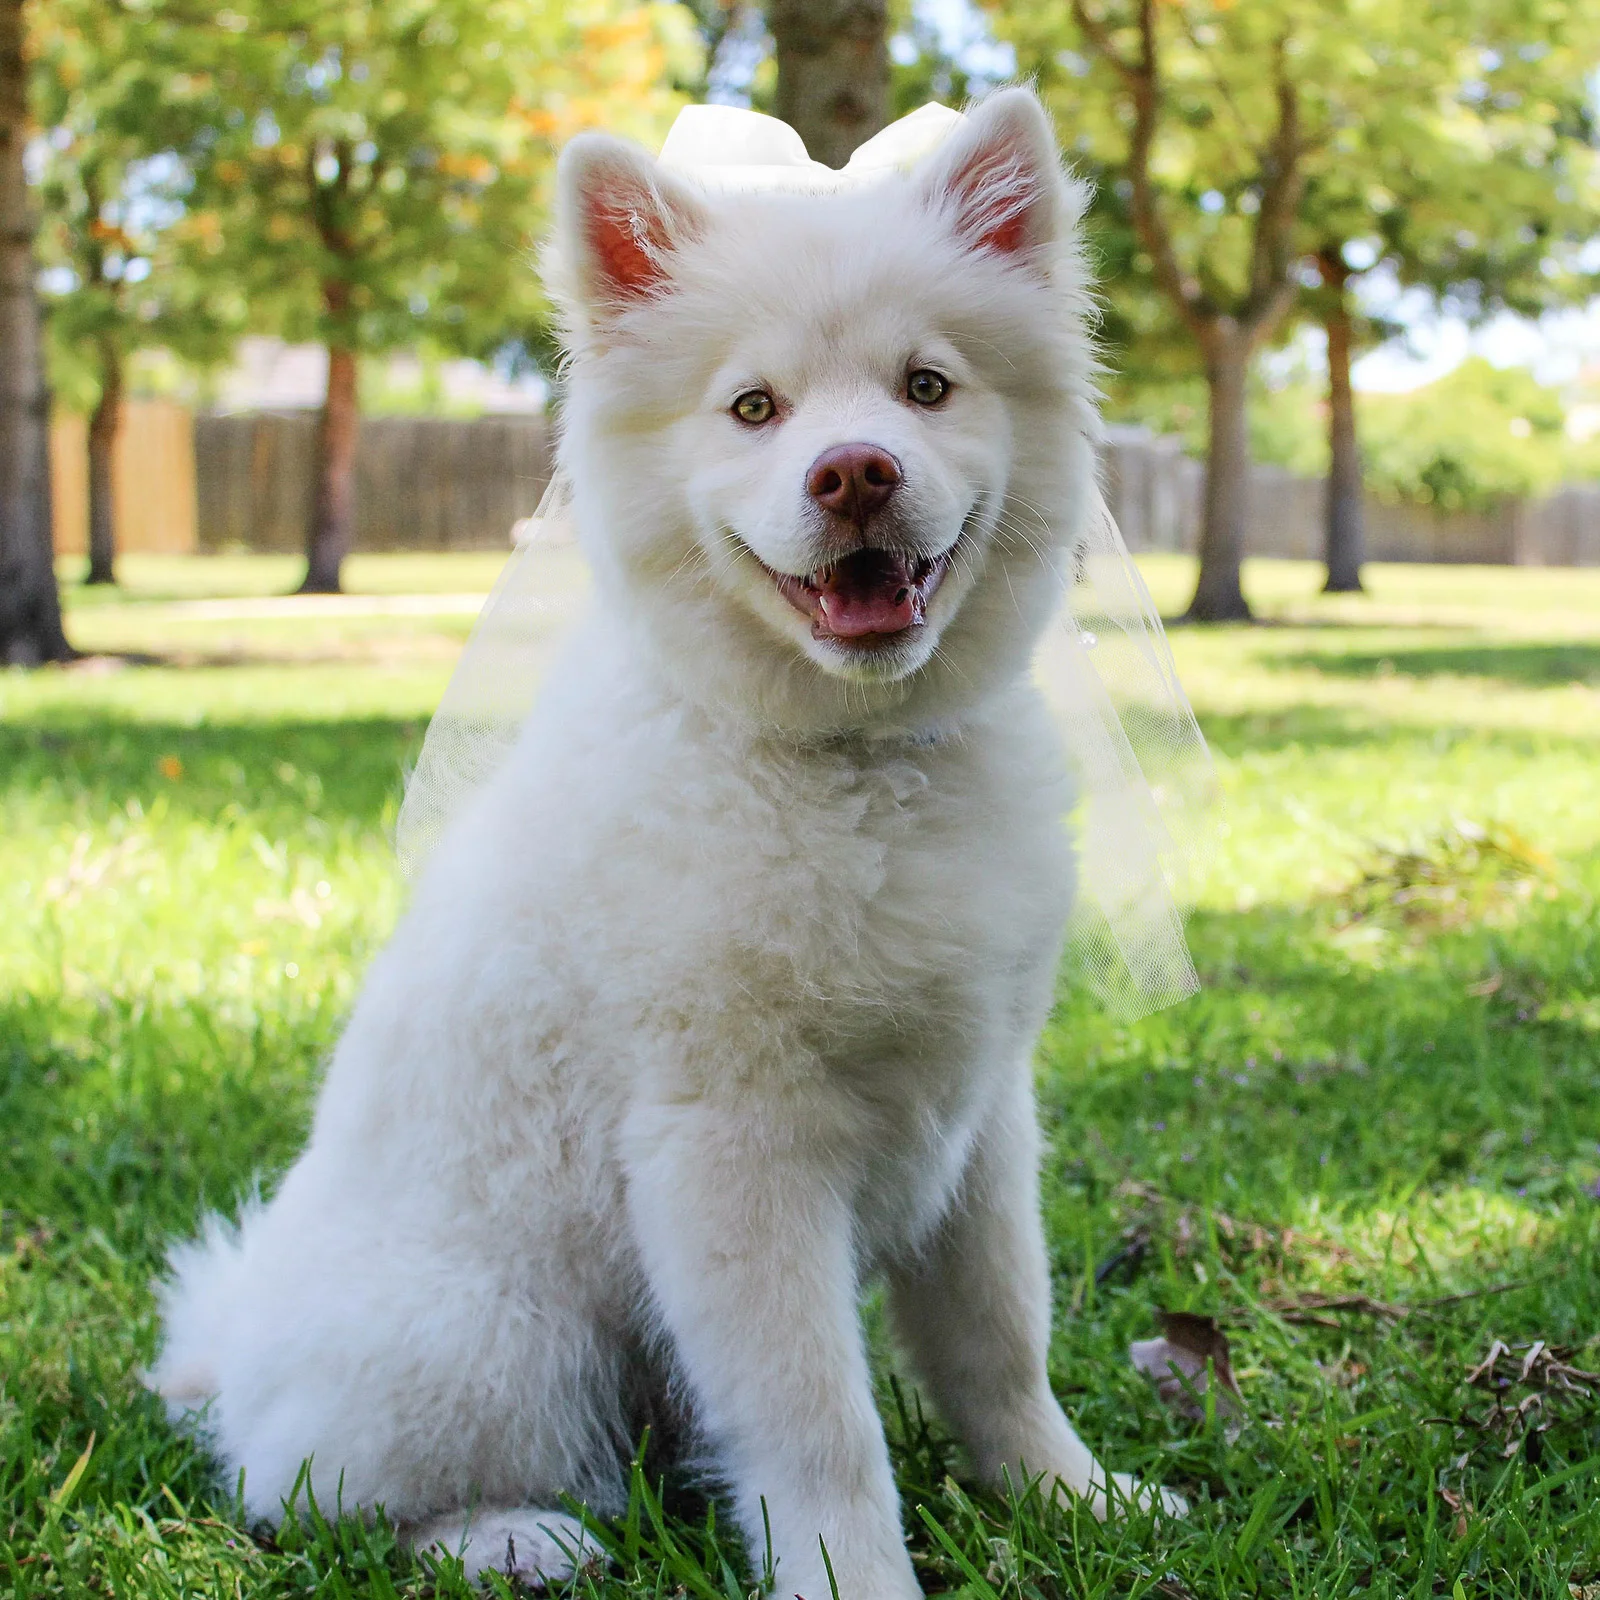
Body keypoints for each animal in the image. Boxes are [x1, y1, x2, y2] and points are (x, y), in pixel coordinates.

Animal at [156, 84, 1184, 1600]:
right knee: (314, 1493)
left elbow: (1002, 1347)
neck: (849, 763)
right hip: (495, 1341)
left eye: (926, 387)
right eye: (754, 408)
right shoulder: (732, 1150)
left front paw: (1074, 1502)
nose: (855, 471)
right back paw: (510, 1535)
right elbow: (820, 1421)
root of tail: (233, 1353)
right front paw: (852, 1577)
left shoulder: (981, 1119)